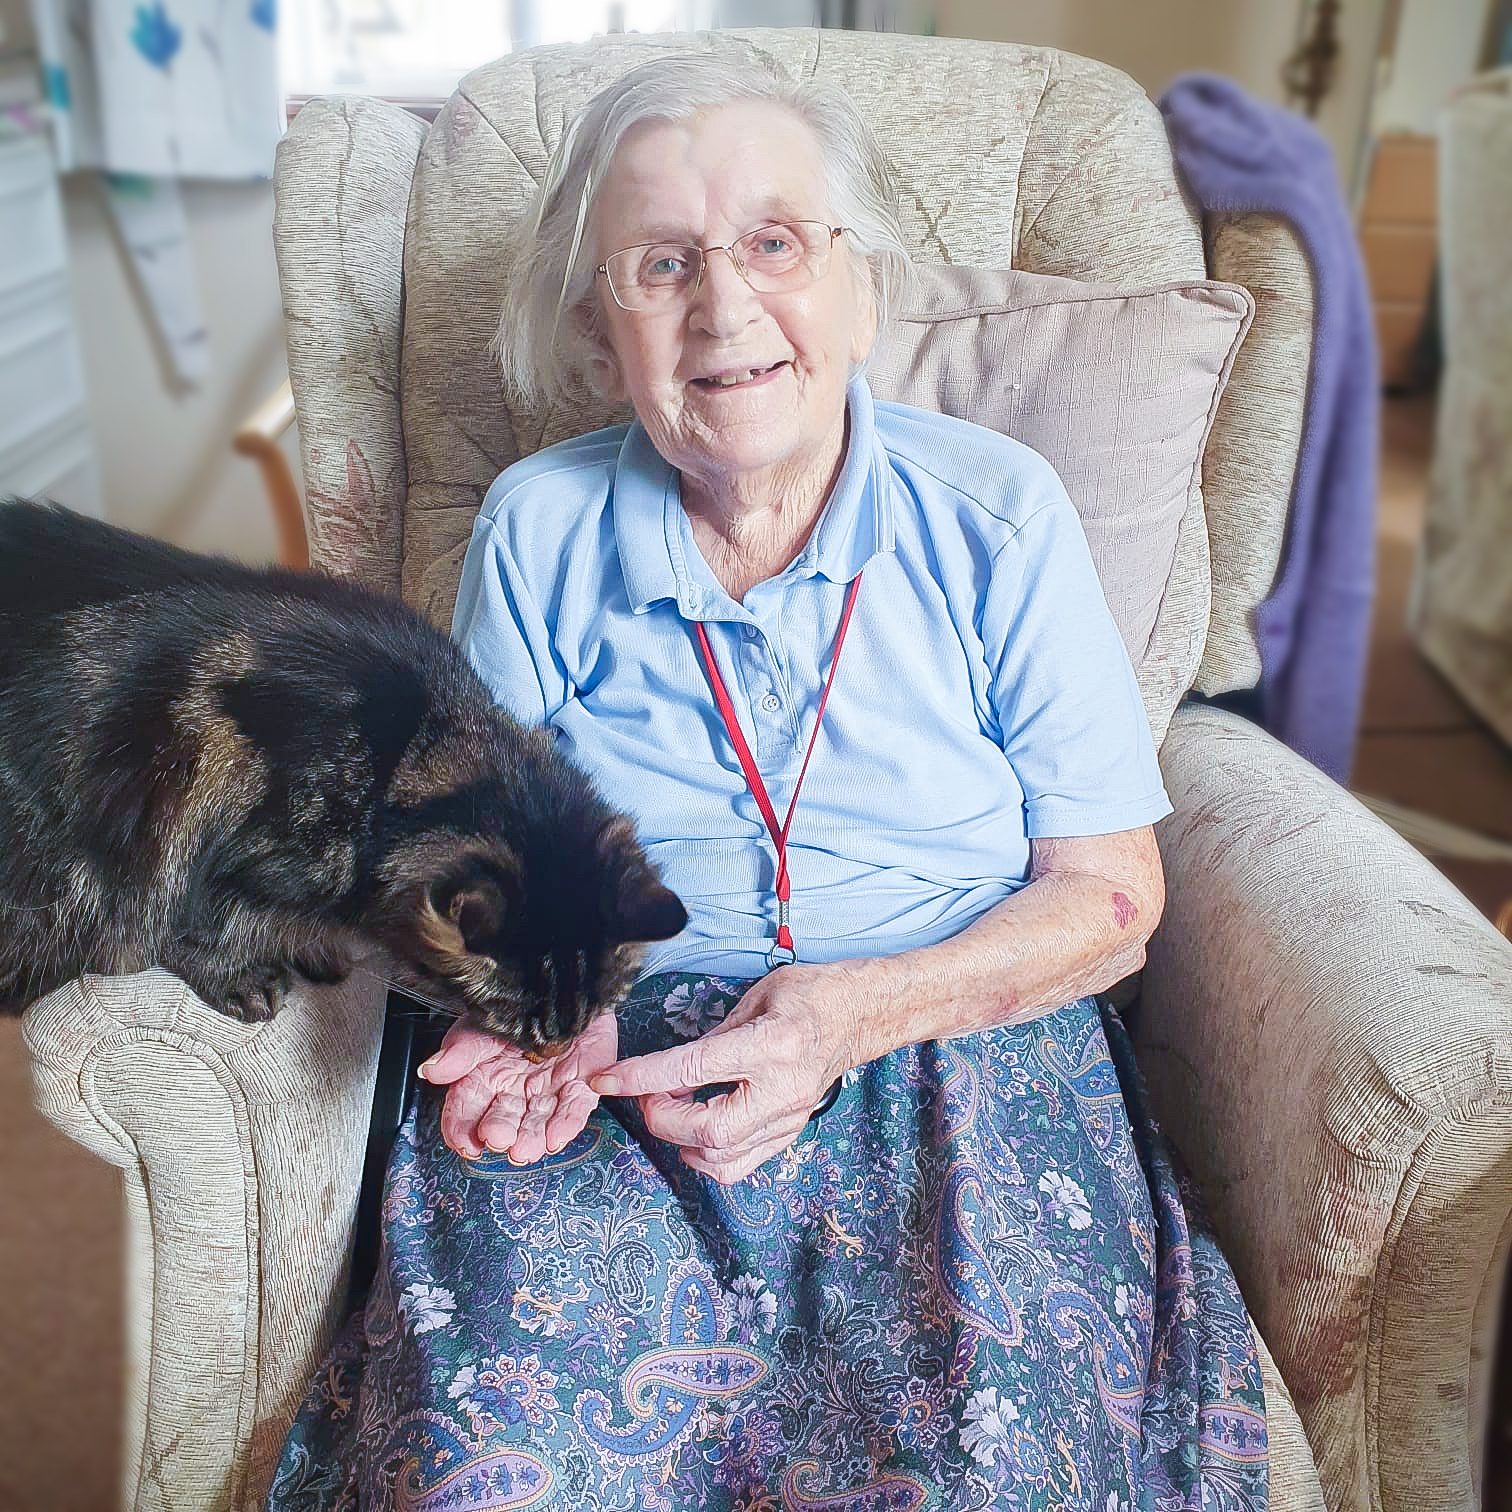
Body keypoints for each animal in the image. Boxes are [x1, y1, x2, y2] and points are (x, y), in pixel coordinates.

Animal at [0, 501, 686, 1046]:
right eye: (518, 1024)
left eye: (586, 1020)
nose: (553, 1051)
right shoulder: (198, 844)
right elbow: (201, 925)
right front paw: (254, 973)